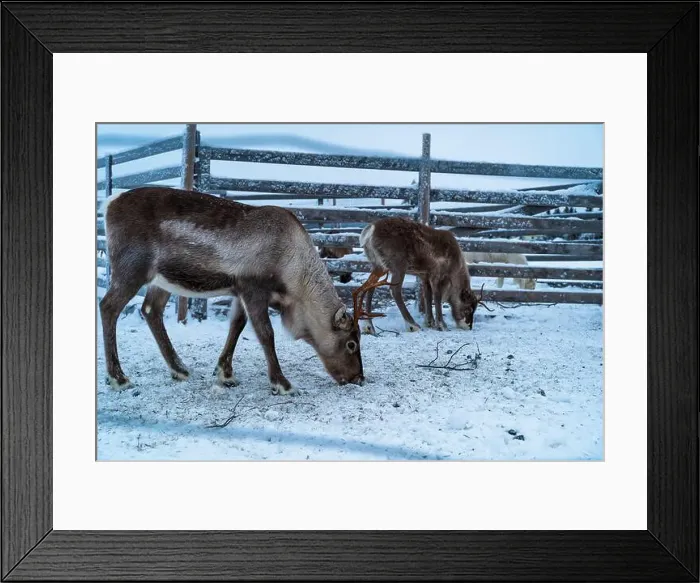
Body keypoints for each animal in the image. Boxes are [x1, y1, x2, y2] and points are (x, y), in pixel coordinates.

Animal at [99, 186, 391, 395]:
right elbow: (265, 334)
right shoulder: (254, 288)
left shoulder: (240, 291)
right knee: (108, 307)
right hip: (131, 268)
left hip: (161, 280)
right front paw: (282, 383)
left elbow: (237, 326)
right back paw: (119, 378)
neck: (293, 276)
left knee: (150, 310)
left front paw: (225, 373)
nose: (358, 378)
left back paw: (179, 369)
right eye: (352, 343)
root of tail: (109, 203)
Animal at [359, 217, 488, 334]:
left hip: (378, 265)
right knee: (394, 290)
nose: (469, 326)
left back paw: (368, 326)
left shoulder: (425, 276)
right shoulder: (437, 275)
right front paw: (441, 325)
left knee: (368, 287)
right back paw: (412, 325)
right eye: (468, 308)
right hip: (398, 266)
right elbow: (437, 297)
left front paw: (429, 322)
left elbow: (427, 296)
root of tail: (370, 230)